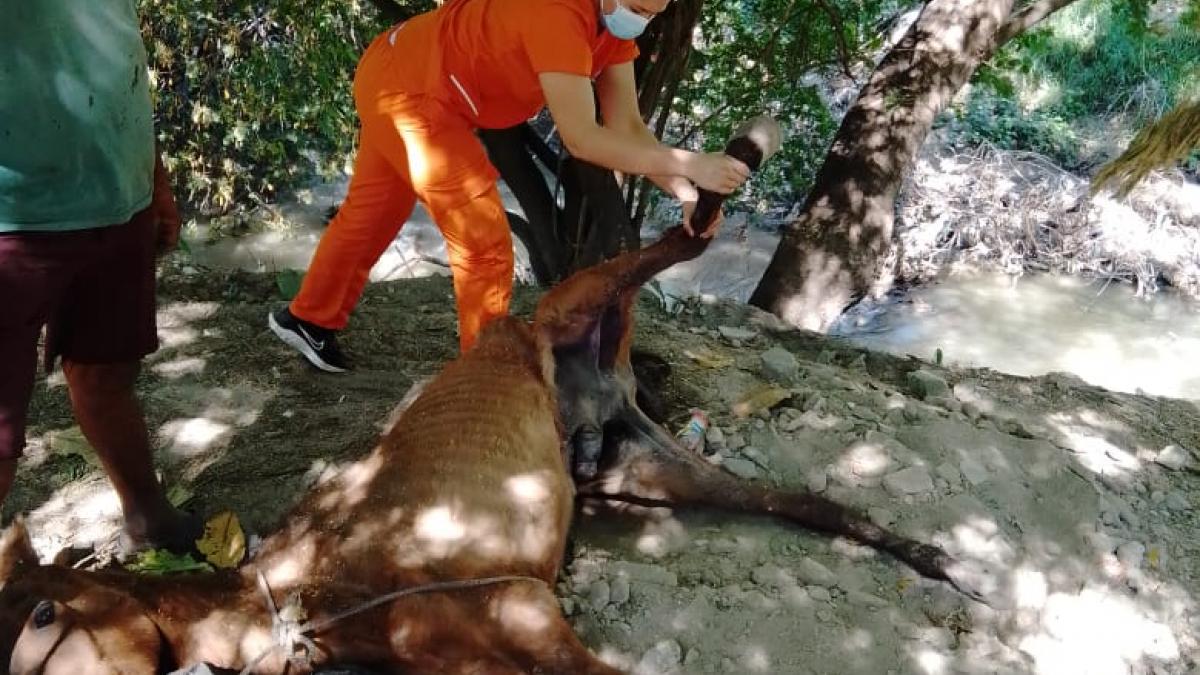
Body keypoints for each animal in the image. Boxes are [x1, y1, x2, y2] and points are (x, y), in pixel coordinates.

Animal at [0, 118, 984, 667]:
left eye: (44, 613)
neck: (307, 591)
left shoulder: (528, 612)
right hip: (637, 469)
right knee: (806, 501)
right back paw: (938, 559)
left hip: (585, 294)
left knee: (688, 237)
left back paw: (731, 159)